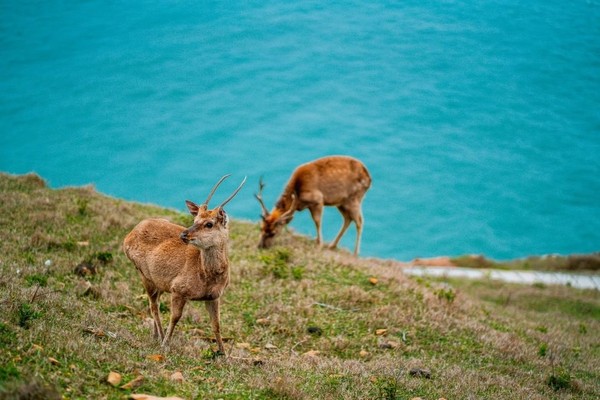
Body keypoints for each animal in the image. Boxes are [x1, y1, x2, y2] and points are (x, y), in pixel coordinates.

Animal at [123, 175, 245, 354]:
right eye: (195, 219)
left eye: (209, 224)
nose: (184, 234)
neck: (205, 276)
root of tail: (128, 237)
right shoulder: (178, 289)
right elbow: (175, 318)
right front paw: (166, 344)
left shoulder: (214, 296)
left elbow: (216, 325)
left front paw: (223, 354)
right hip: (144, 274)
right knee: (154, 305)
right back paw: (160, 337)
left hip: (159, 281)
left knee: (153, 303)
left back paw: (155, 335)